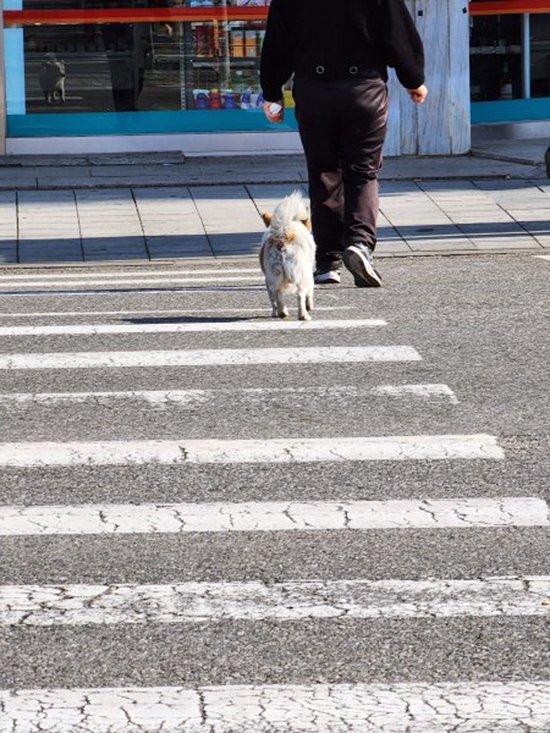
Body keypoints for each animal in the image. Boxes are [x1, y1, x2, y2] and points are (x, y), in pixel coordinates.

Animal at [260, 192, 316, 320]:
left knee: (276, 295)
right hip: (302, 275)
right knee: (300, 294)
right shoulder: (309, 273)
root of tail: (283, 236)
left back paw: (282, 312)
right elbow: (310, 292)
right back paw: (303, 315)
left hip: (274, 275)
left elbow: (273, 300)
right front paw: (310, 305)